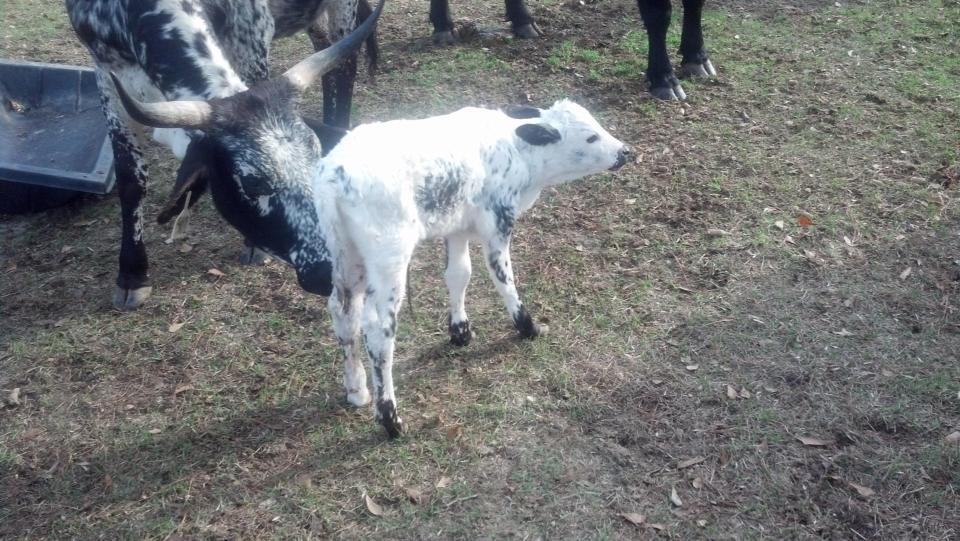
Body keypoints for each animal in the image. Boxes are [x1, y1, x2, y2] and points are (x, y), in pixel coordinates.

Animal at [66, 0, 377, 310]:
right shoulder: (106, 77)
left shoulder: (252, 48)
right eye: (252, 183)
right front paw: (132, 275)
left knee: (344, 67)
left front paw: (252, 246)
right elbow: (131, 182)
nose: (335, 271)